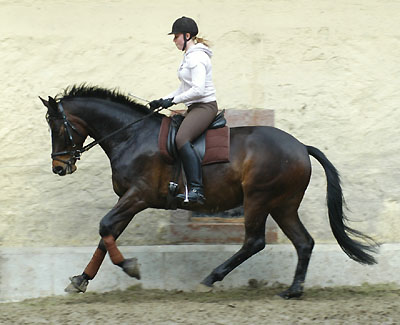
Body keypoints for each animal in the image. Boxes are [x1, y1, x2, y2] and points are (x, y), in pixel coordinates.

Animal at [40, 85, 378, 298]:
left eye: (57, 128)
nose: (59, 167)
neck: (131, 136)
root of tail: (300, 147)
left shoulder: (138, 196)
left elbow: (105, 226)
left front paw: (130, 267)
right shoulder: (128, 199)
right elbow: (106, 235)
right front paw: (81, 280)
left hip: (259, 199)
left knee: (254, 242)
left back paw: (210, 279)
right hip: (283, 205)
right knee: (303, 242)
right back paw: (294, 291)